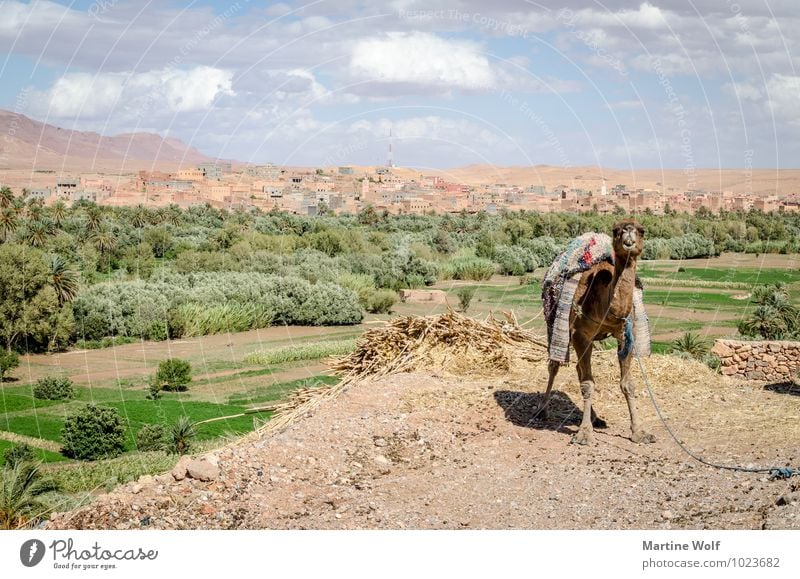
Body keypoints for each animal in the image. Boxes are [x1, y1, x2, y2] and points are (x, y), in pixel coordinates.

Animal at [536, 220, 656, 446]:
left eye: (642, 230)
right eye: (616, 230)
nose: (628, 233)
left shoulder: (626, 335)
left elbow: (628, 384)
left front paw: (639, 432)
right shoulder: (580, 334)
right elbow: (587, 385)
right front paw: (584, 434)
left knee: (578, 369)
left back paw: (595, 418)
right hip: (555, 324)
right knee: (554, 366)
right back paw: (542, 411)